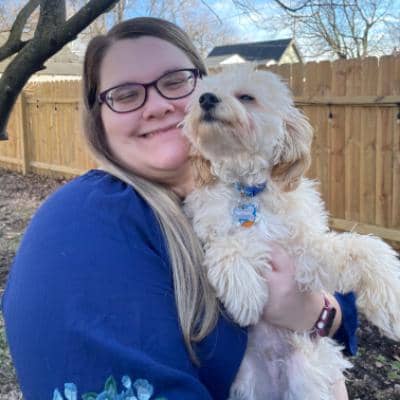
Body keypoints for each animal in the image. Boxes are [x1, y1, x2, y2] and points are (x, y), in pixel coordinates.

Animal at [182, 64, 400, 400]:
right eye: (202, 93)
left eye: (246, 97)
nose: (206, 99)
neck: (248, 189)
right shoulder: (207, 230)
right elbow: (228, 244)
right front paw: (245, 290)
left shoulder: (304, 256)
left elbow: (360, 248)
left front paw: (392, 300)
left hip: (306, 372)